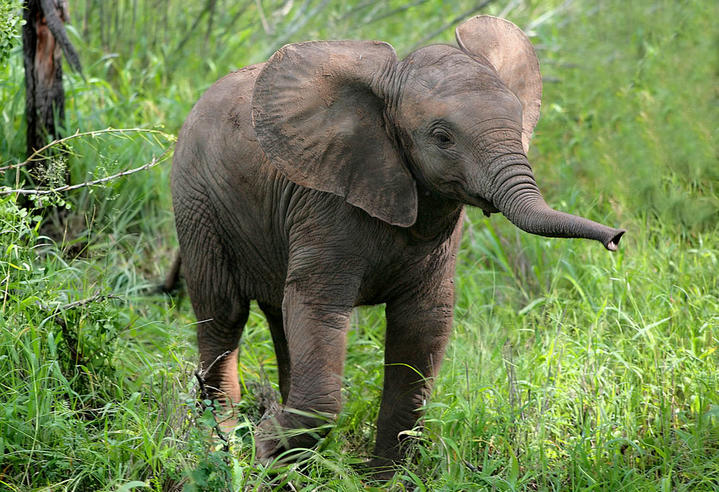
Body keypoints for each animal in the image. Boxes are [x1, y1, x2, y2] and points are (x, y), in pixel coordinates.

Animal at [171, 15, 625, 476]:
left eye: (519, 124)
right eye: (443, 138)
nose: (616, 239)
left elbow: (422, 326)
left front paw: (381, 478)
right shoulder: (324, 202)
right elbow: (317, 308)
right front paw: (264, 454)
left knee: (278, 318)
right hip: (196, 200)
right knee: (223, 312)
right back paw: (220, 445)